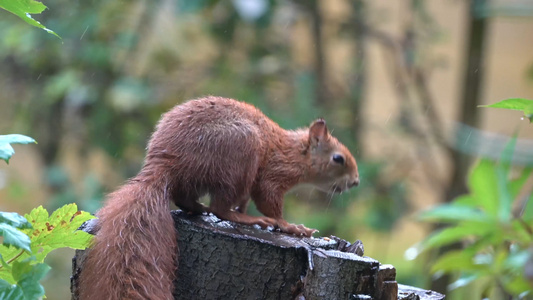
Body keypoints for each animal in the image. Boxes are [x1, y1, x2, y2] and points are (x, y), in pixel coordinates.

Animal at [79, 96, 360, 300]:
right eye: (338, 158)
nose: (356, 181)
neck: (292, 152)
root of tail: (164, 164)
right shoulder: (272, 176)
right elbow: (269, 202)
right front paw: (291, 226)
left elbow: (247, 200)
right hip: (239, 155)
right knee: (220, 208)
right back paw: (248, 220)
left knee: (188, 200)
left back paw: (199, 208)